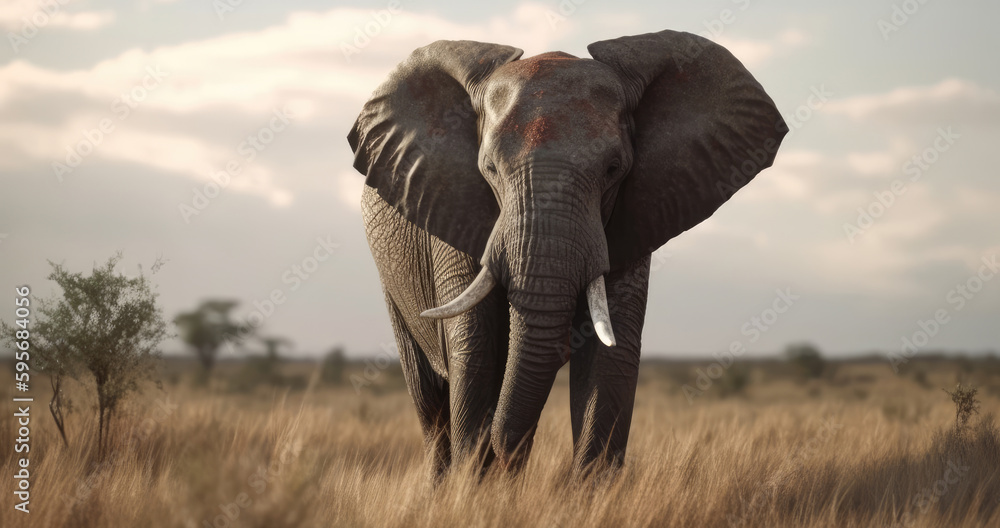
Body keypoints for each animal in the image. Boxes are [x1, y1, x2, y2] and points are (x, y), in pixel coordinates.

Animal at [348, 29, 786, 477]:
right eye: (489, 169)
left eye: (614, 169)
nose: (503, 453)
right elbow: (475, 348)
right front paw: (470, 485)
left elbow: (610, 354)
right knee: (430, 402)